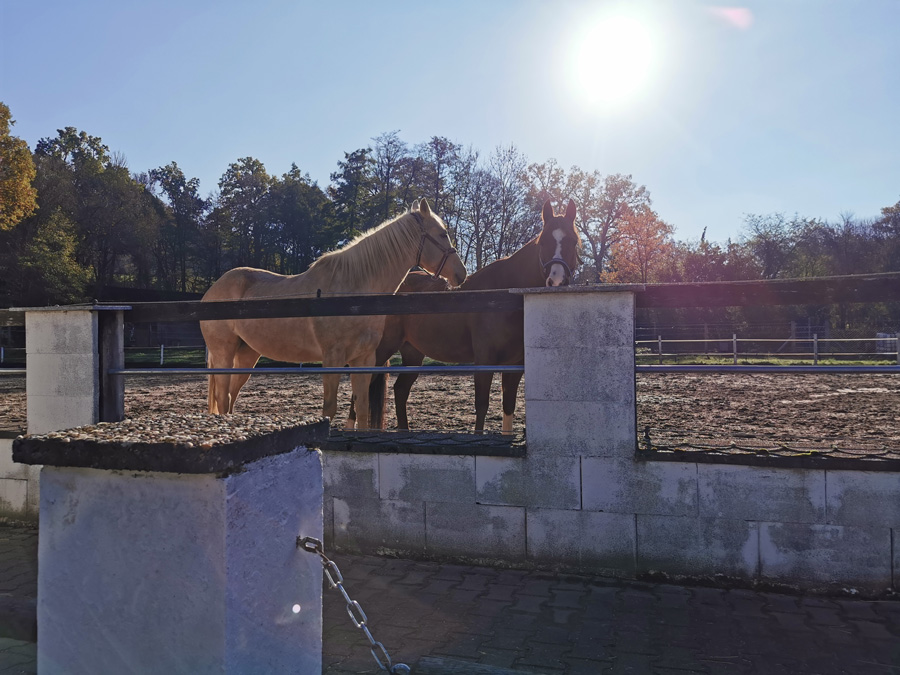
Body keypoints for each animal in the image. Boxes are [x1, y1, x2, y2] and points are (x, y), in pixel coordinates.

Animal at [200, 199, 468, 428]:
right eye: (442, 234)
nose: (461, 274)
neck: (352, 292)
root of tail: (211, 292)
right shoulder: (333, 358)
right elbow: (329, 408)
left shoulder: (364, 359)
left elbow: (361, 408)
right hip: (224, 355)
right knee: (222, 399)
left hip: (246, 355)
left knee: (231, 397)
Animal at [360, 201, 580, 434]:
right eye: (544, 241)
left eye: (573, 241)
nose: (556, 281)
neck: (502, 296)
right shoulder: (484, 361)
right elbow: (481, 405)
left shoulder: (514, 366)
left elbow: (508, 406)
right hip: (381, 351)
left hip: (413, 354)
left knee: (400, 390)